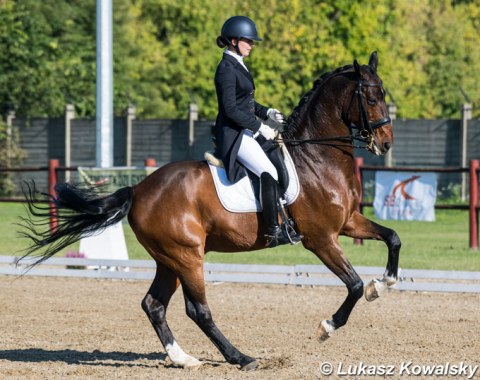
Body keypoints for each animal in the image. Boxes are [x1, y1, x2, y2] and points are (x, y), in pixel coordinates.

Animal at [19, 51, 402, 372]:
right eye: (371, 97)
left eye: (384, 93)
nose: (385, 144)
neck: (316, 158)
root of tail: (139, 190)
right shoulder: (320, 238)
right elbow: (354, 285)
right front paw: (328, 326)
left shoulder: (348, 222)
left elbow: (393, 238)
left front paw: (385, 282)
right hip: (187, 256)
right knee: (198, 310)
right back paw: (241, 358)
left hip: (170, 259)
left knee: (153, 304)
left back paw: (183, 358)